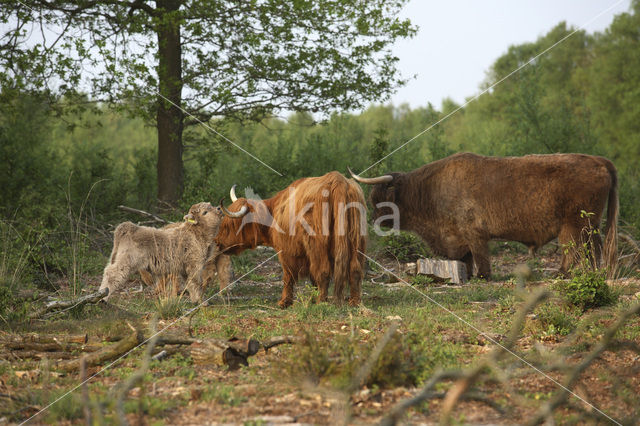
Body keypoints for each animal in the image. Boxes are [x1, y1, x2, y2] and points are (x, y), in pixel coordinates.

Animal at [216, 171, 364, 308]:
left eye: (230, 225)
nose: (217, 242)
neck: (275, 211)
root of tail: (337, 180)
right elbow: (312, 277)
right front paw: (311, 297)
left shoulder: (287, 250)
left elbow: (288, 276)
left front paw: (284, 302)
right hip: (356, 240)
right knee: (355, 269)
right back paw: (354, 302)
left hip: (317, 244)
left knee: (324, 271)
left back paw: (321, 302)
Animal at [352, 153, 616, 280]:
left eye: (378, 199)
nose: (372, 220)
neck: (428, 190)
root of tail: (599, 161)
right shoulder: (458, 238)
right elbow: (466, 258)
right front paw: (467, 275)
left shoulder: (474, 233)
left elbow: (479, 255)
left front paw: (482, 276)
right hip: (590, 225)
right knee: (593, 249)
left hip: (573, 226)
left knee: (574, 250)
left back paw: (562, 273)